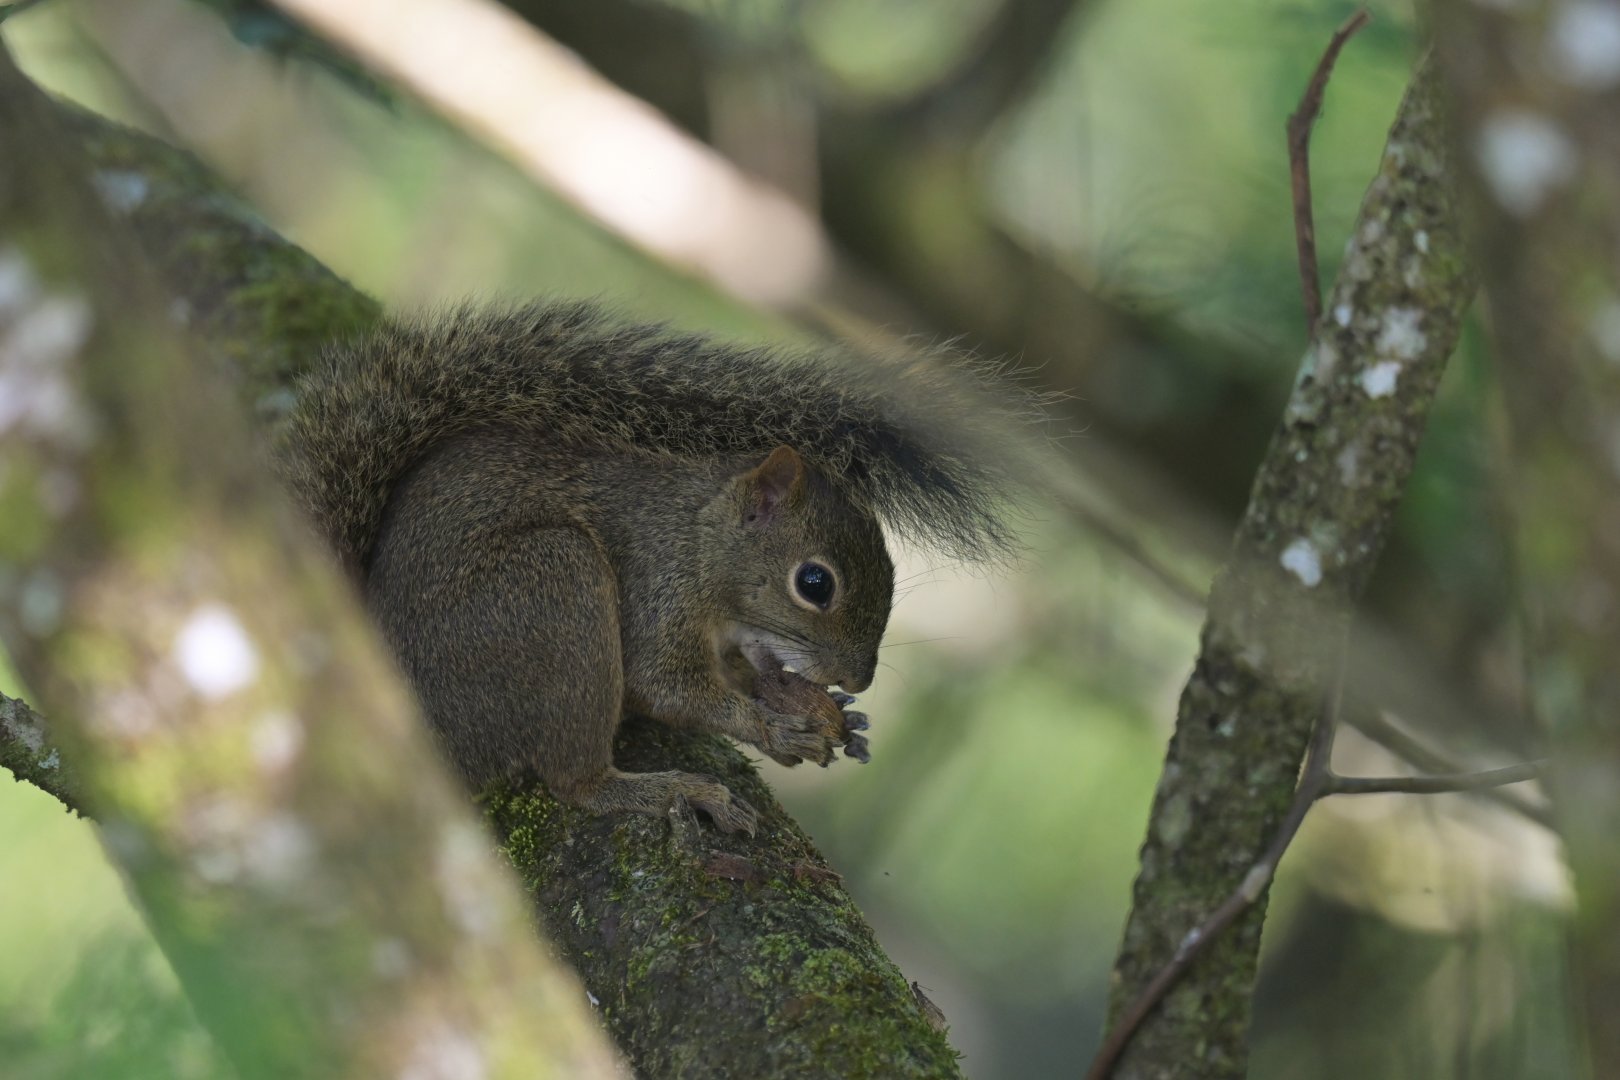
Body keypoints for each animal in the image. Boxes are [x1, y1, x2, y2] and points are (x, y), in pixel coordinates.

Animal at [279, 302, 1037, 834]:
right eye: (815, 583)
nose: (858, 679)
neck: (699, 539)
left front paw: (821, 710)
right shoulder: (655, 581)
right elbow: (661, 684)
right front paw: (776, 727)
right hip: (553, 589)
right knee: (575, 782)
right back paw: (668, 789)